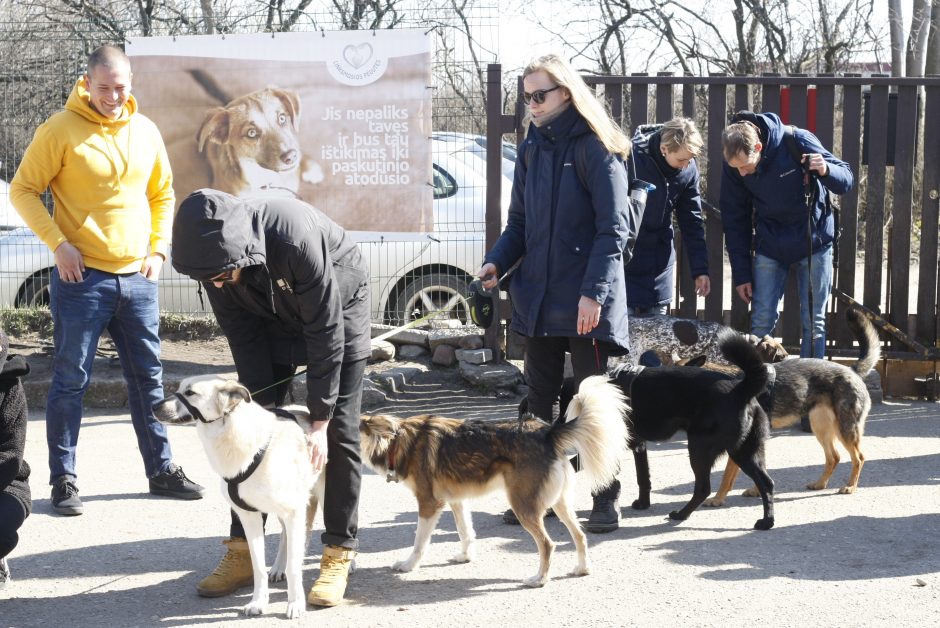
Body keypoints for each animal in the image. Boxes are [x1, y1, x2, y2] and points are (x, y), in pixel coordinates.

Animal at [154, 376, 324, 620]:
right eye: (179, 388)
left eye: (190, 393)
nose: (153, 407)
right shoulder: (249, 516)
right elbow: (258, 566)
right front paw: (259, 602)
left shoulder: (293, 512)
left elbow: (294, 565)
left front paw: (295, 603)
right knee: (284, 536)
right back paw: (278, 568)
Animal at [356, 378, 628, 588]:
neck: (397, 441)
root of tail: (547, 433)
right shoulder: (456, 501)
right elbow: (465, 531)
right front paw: (465, 557)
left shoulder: (428, 503)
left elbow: (419, 542)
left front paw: (408, 565)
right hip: (559, 504)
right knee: (579, 535)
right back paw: (582, 569)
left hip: (523, 506)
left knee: (548, 544)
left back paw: (539, 580)